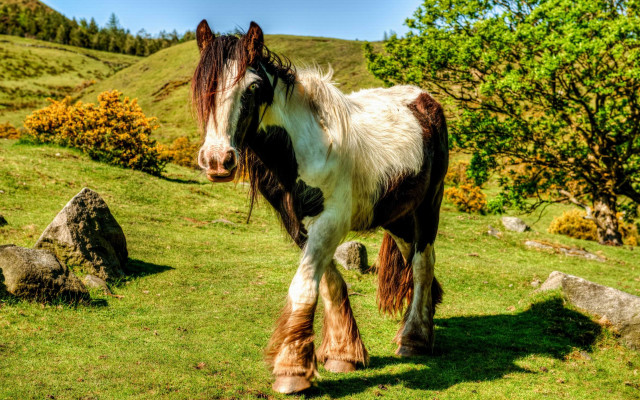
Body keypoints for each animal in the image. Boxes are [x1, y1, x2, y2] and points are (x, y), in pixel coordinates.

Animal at [191, 20, 449, 394]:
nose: (216, 161)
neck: (306, 146)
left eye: (253, 87)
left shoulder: (331, 221)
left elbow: (304, 285)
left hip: (428, 207)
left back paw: (414, 339)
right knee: (411, 260)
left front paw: (292, 371)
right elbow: (329, 283)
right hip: (398, 216)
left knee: (422, 263)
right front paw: (343, 353)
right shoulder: (299, 225)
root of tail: (425, 99)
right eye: (202, 87)